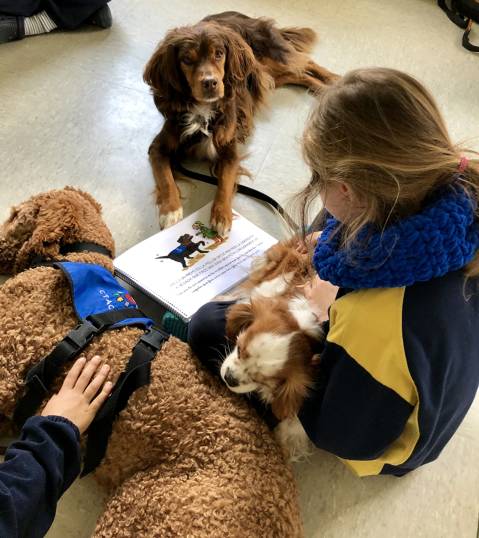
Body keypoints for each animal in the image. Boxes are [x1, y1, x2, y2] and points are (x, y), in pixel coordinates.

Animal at [144, 9, 340, 232]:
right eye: (186, 59)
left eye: (219, 54)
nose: (210, 83)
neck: (203, 111)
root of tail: (238, 14)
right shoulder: (158, 147)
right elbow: (165, 178)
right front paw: (170, 211)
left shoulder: (230, 149)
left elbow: (225, 182)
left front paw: (222, 215)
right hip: (265, 75)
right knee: (299, 75)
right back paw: (324, 90)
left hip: (270, 60)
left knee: (304, 63)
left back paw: (333, 80)